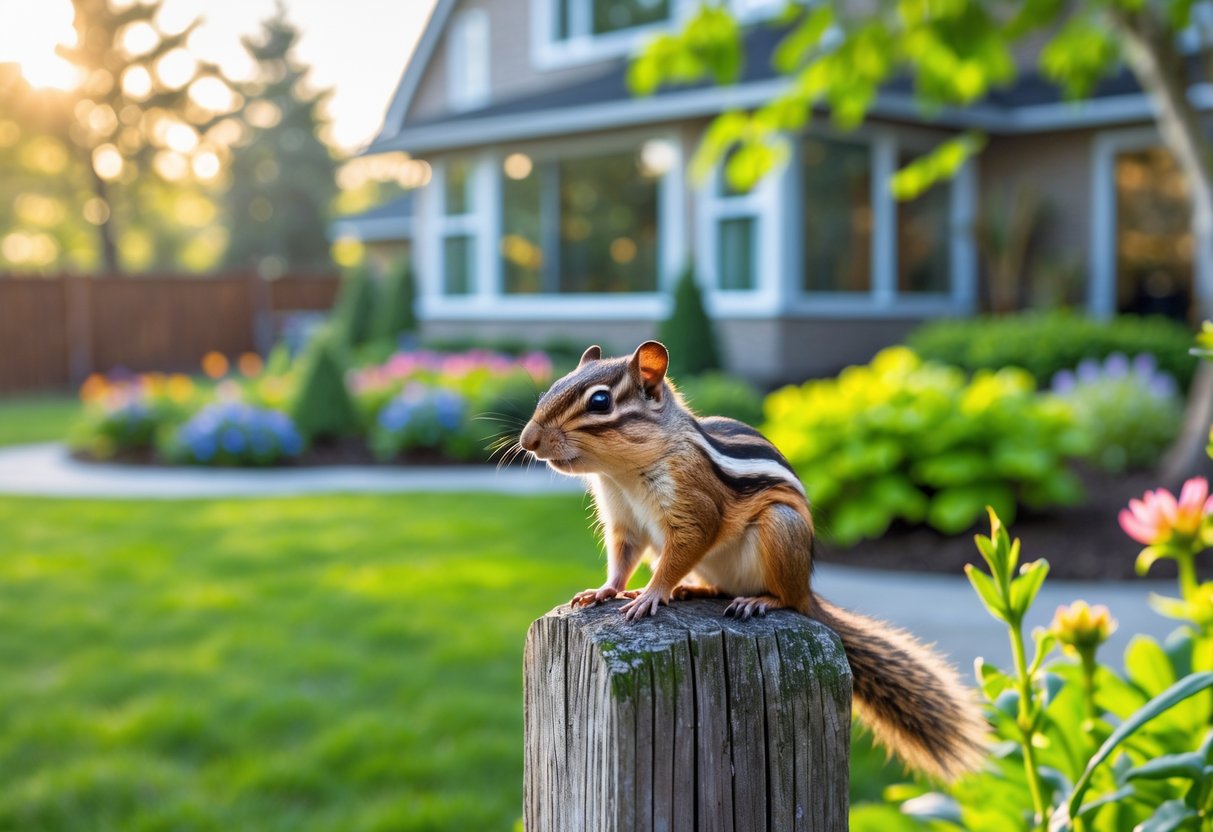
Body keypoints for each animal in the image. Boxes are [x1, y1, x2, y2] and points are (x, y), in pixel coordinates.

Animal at [518, 340, 986, 782]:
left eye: (600, 401)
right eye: (553, 386)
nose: (528, 441)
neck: (622, 473)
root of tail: (808, 591)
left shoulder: (696, 509)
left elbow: (680, 551)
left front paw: (651, 595)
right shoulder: (624, 522)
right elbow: (621, 559)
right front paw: (605, 591)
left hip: (780, 532)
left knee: (784, 597)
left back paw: (759, 601)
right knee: (722, 586)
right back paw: (693, 589)